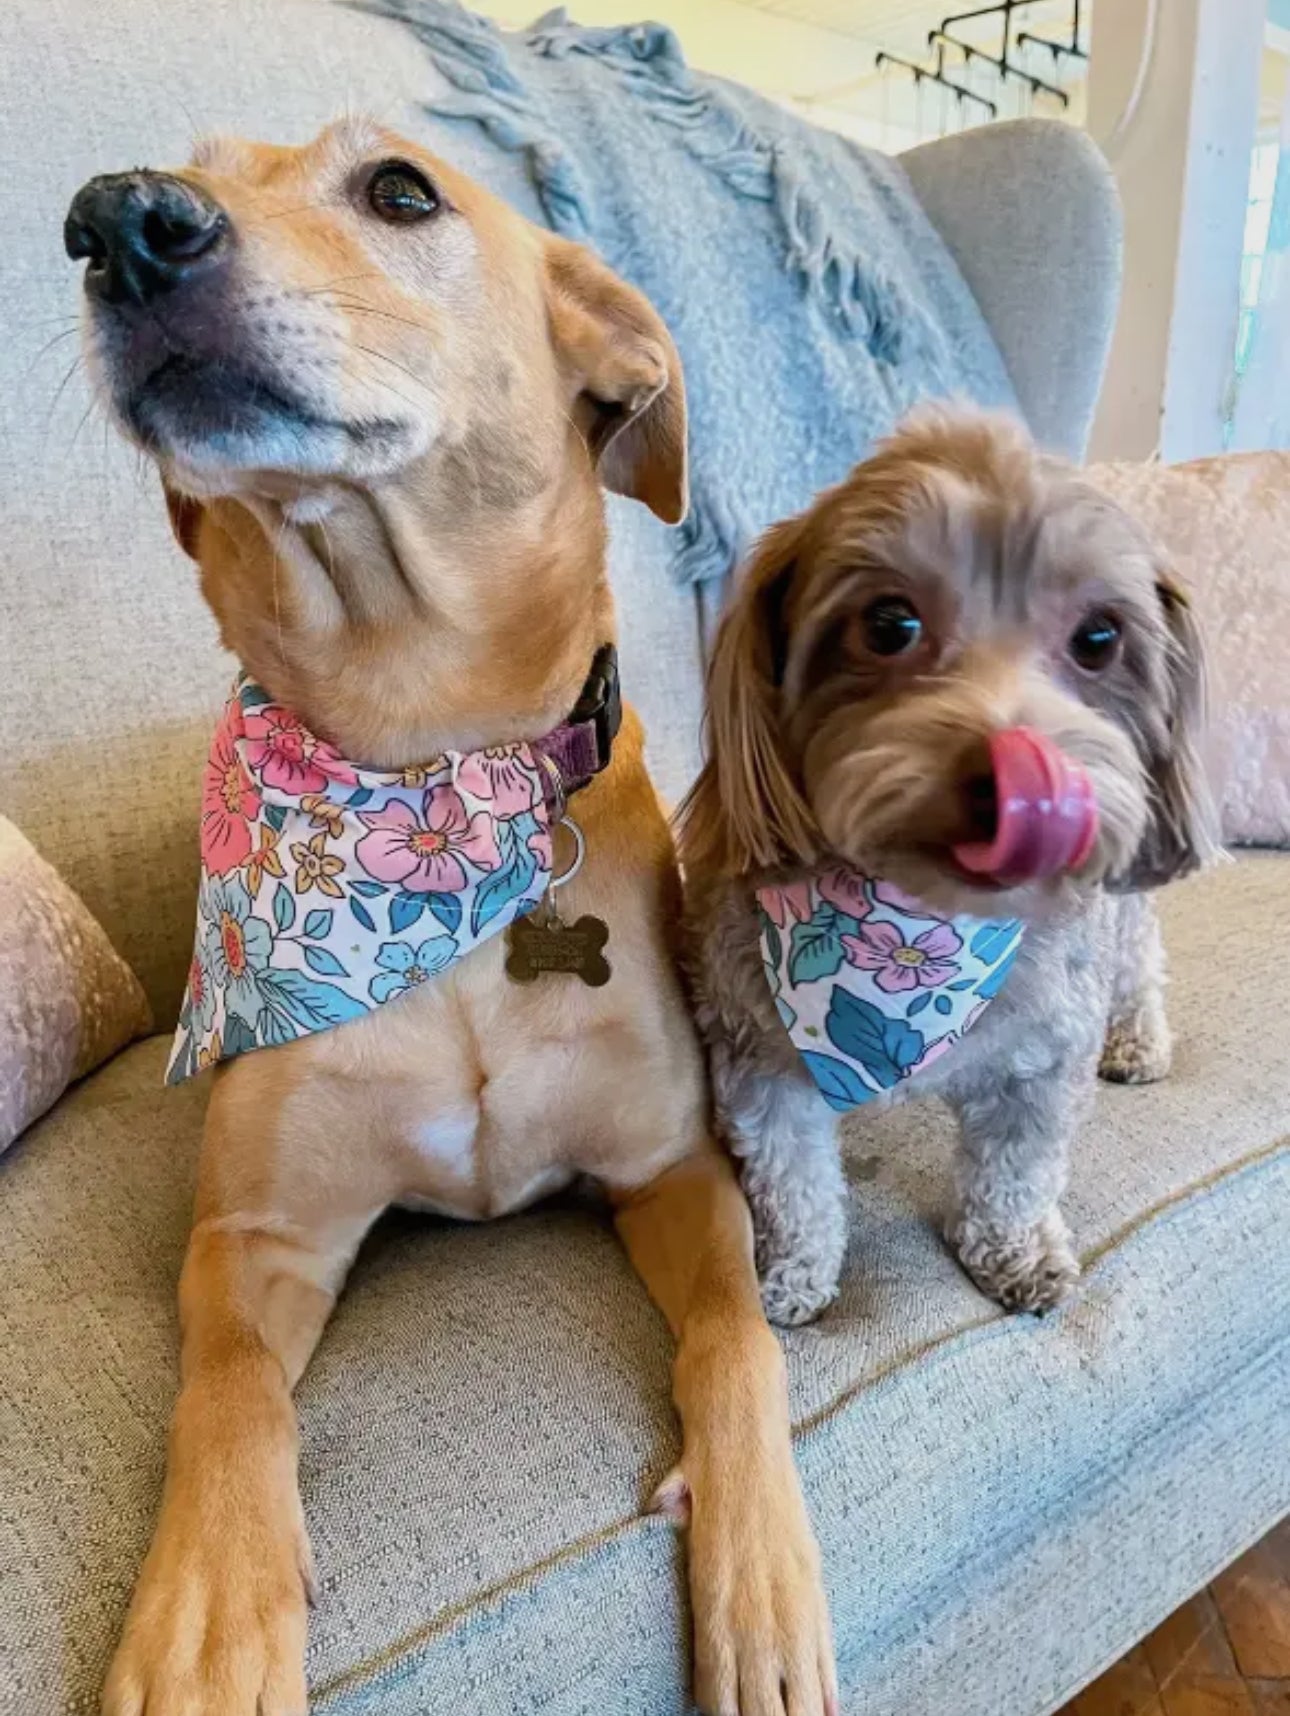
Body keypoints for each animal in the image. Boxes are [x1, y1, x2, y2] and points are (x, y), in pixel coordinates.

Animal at [65, 120, 837, 1716]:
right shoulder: (256, 1232)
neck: (426, 757)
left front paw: (761, 1581)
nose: (116, 221)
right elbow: (227, 1394)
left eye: (401, 190)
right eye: (186, 164)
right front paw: (206, 1612)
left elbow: (738, 1342)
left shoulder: (672, 1168)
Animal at [679, 411, 1214, 1324]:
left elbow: (1016, 1175)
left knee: (1139, 959)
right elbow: (793, 1180)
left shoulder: (1042, 1059)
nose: (1020, 780)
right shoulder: (758, 1054)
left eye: (1099, 638)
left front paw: (1016, 1252)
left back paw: (1139, 1038)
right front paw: (793, 1274)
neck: (917, 927)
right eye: (888, 624)